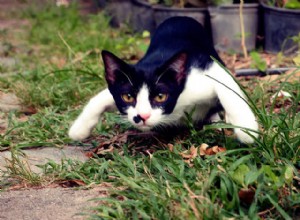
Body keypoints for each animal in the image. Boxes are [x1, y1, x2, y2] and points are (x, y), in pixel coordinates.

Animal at [68, 16, 258, 143]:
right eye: (128, 97)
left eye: (161, 96)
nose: (142, 116)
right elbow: (99, 98)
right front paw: (79, 130)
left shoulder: (207, 69)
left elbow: (228, 89)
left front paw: (247, 130)